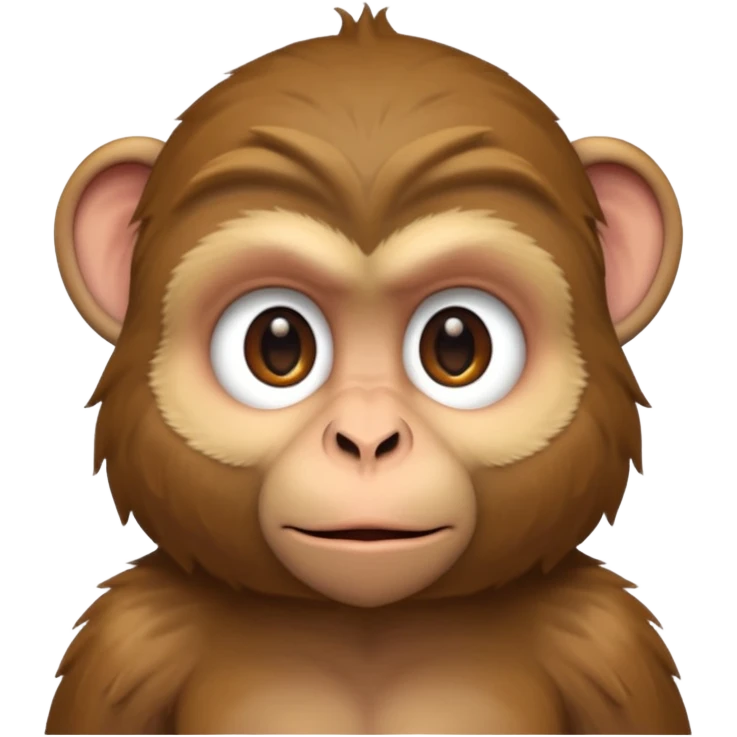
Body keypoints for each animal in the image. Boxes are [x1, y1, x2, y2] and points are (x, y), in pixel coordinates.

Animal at [46, 5, 691, 736]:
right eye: (277, 345)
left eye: (455, 345)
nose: (366, 439)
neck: (367, 626)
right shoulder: (129, 639)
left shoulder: (606, 640)